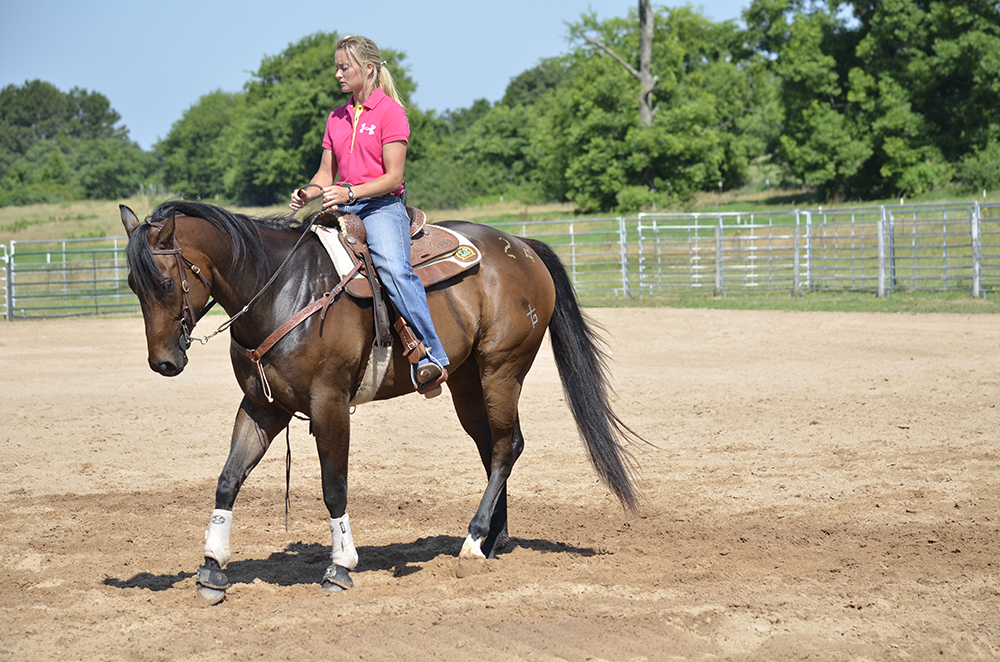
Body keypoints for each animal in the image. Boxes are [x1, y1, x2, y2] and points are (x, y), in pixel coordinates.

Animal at [120, 200, 641, 606]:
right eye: (131, 284)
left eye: (164, 282)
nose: (163, 362)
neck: (281, 290)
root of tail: (522, 245)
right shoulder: (262, 406)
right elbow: (228, 480)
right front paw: (212, 568)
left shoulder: (328, 404)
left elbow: (334, 487)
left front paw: (340, 567)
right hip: (468, 382)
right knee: (493, 446)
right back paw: (493, 539)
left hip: (502, 370)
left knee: (506, 446)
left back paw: (473, 543)